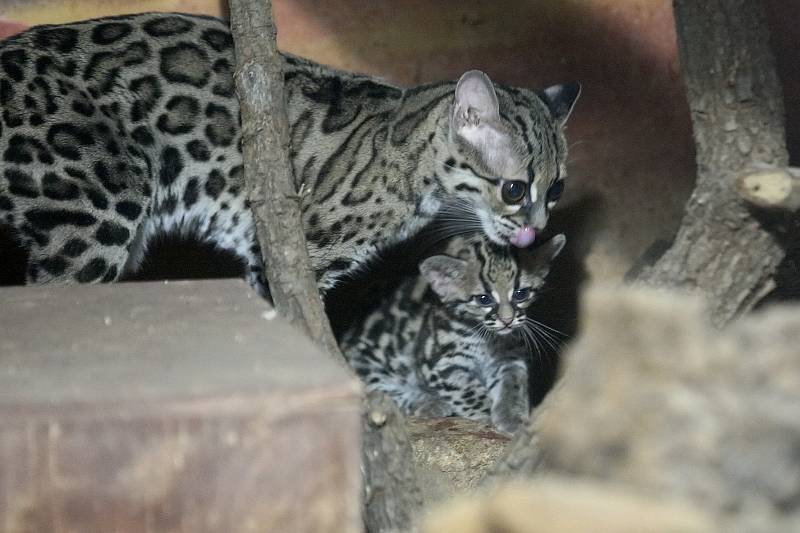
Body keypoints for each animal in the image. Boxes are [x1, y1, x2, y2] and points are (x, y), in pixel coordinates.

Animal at [340, 233, 564, 432]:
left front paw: (512, 415)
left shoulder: (508, 358)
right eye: (484, 299)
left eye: (521, 294)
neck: (487, 339)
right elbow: (467, 391)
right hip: (364, 359)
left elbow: (513, 383)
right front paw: (485, 411)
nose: (507, 320)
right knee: (379, 388)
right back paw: (427, 401)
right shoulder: (439, 365)